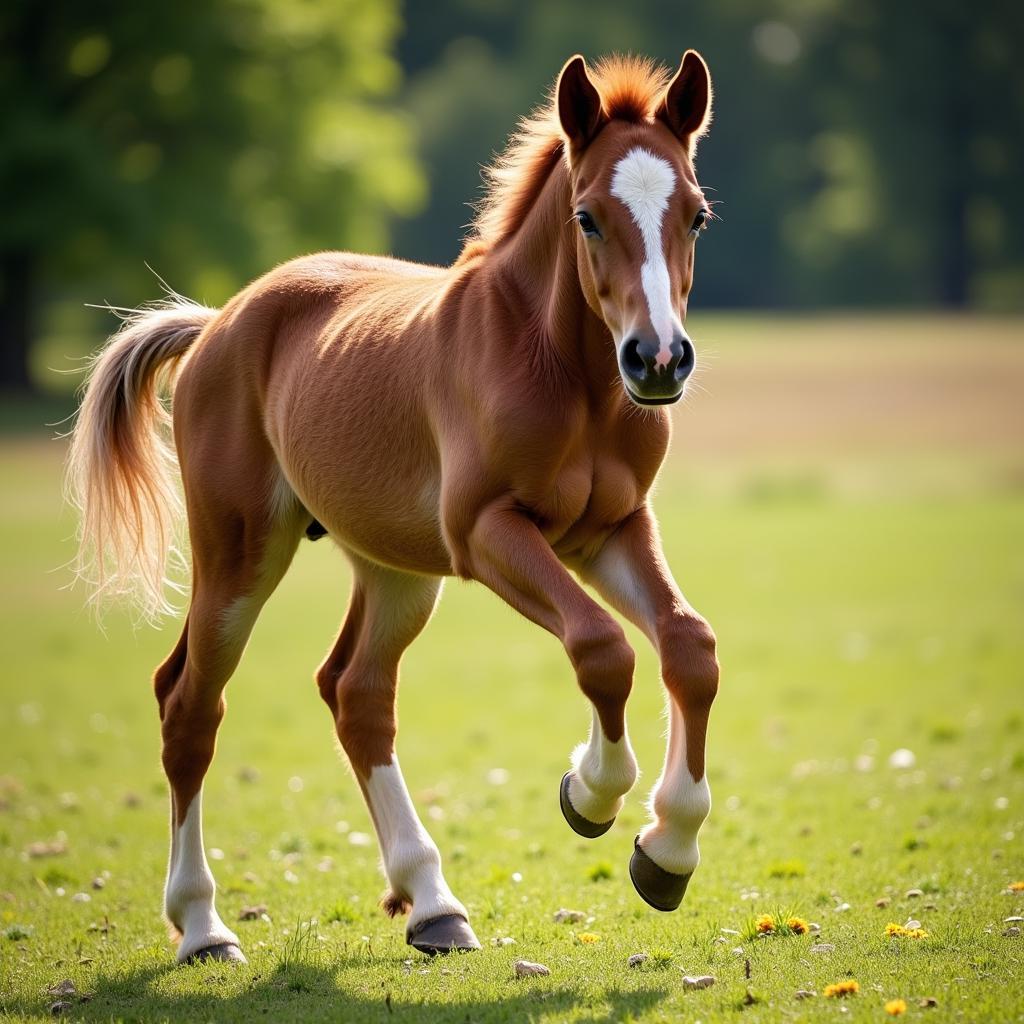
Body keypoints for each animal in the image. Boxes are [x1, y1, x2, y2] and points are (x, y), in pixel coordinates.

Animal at [68, 51, 720, 962]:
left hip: (397, 570)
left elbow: (690, 647)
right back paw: (202, 926)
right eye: (588, 217)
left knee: (357, 694)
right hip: (239, 554)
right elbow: (601, 647)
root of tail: (217, 322)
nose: (658, 360)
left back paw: (434, 905)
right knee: (190, 703)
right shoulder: (487, 531)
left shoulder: (614, 530)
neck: (566, 375)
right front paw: (589, 794)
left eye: (696, 216)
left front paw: (667, 850)